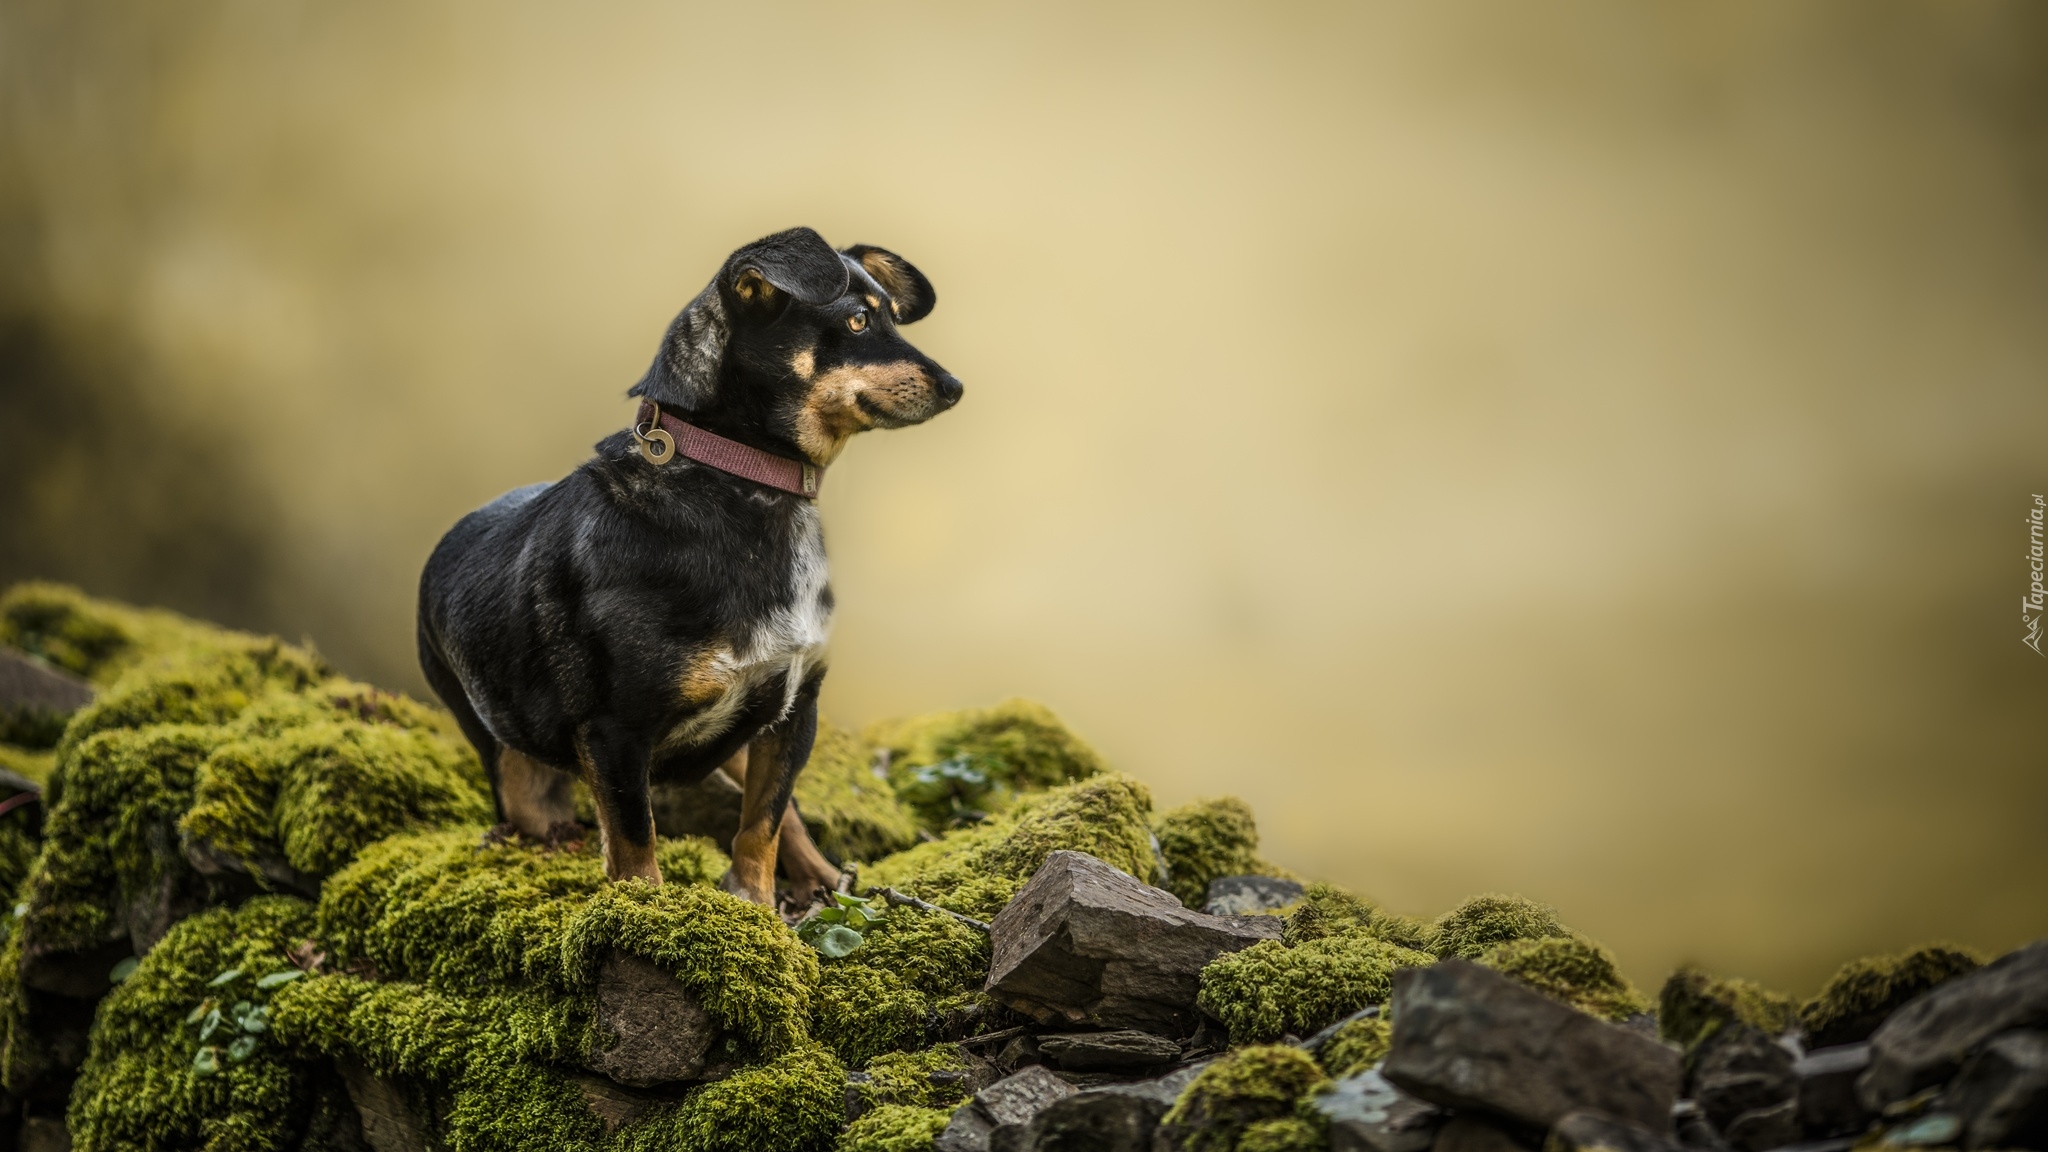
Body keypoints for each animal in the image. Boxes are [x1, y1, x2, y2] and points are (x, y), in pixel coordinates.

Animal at [419, 228, 962, 901]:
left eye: (889, 314)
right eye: (857, 320)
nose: (955, 386)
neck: (741, 480)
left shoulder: (794, 710)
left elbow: (764, 824)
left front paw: (756, 905)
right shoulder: (615, 732)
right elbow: (634, 842)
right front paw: (645, 911)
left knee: (787, 816)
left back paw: (824, 877)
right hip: (516, 767)